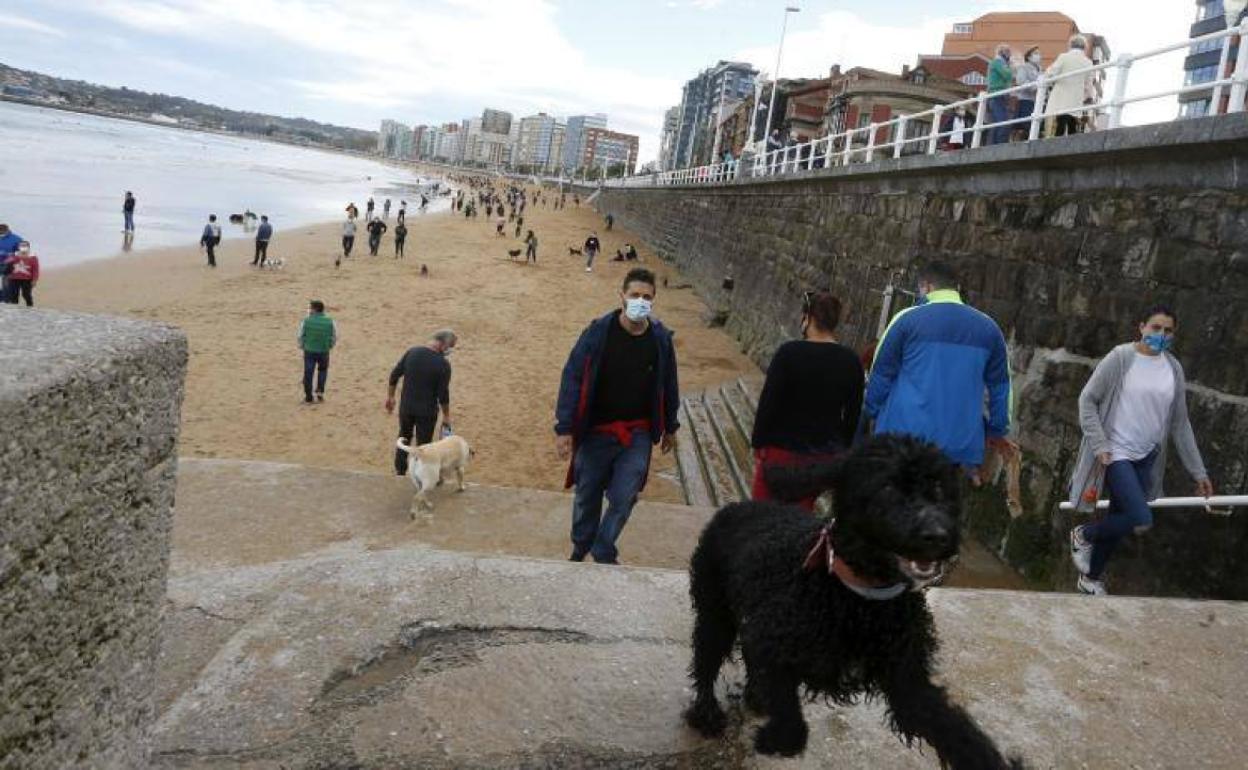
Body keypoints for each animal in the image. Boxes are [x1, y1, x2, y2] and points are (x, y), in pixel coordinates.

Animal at [683, 434, 1023, 763]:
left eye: (939, 488)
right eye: (886, 487)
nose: (938, 535)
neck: (860, 602)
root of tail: (740, 506)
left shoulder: (906, 678)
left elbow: (953, 728)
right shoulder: (773, 642)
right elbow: (790, 717)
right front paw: (776, 738)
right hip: (715, 611)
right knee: (706, 660)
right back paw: (706, 713)